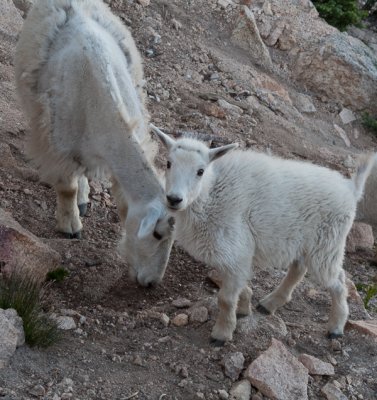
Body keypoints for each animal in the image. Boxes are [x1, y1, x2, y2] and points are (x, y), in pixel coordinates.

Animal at [14, 0, 173, 288]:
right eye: (157, 233)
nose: (150, 283)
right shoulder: (58, 144)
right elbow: (66, 188)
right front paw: (70, 227)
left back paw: (84, 199)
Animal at [151, 125, 374, 344]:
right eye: (169, 163)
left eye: (200, 171)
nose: (174, 199)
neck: (209, 195)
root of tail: (351, 190)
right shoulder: (231, 256)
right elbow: (237, 284)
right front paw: (244, 308)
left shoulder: (235, 249)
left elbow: (225, 299)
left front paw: (222, 334)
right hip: (305, 240)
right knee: (298, 268)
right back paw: (269, 304)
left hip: (327, 244)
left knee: (338, 282)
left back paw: (336, 327)